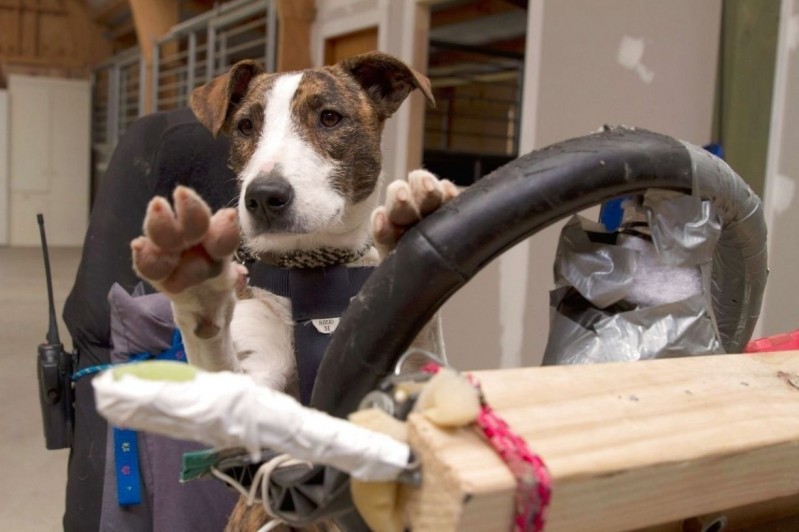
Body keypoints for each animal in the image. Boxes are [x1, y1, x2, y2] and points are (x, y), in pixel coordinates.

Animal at [129, 51, 460, 528]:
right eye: (246, 126)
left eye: (329, 117)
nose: (265, 196)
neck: (312, 273)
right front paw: (199, 283)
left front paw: (410, 222)